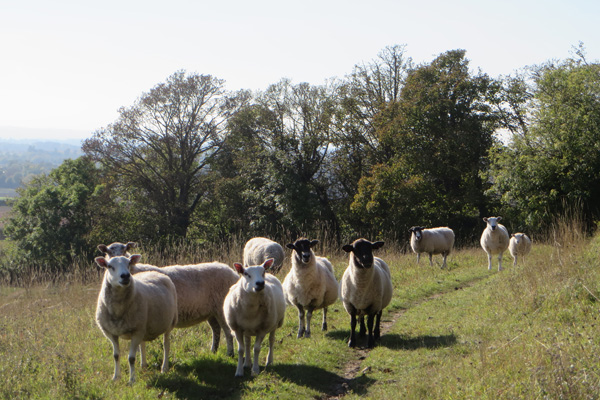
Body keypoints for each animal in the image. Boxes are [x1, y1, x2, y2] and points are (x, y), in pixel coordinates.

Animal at [97, 241, 238, 356]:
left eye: (125, 249)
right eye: (108, 252)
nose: (123, 274)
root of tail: (233, 272)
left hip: (221, 307)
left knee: (227, 331)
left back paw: (229, 353)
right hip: (211, 311)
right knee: (216, 329)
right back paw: (213, 351)